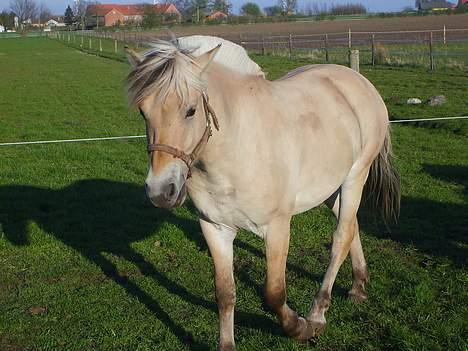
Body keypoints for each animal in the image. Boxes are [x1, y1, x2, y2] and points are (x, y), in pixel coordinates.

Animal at [124, 36, 398, 351]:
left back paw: (318, 313)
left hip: (355, 177)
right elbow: (225, 293)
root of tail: (357, 80)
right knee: (352, 226)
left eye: (191, 110)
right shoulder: (215, 228)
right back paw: (358, 286)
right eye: (143, 112)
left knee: (341, 237)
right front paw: (227, 344)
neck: (236, 148)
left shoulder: (277, 228)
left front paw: (300, 327)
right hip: (331, 188)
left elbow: (274, 293)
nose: (160, 191)